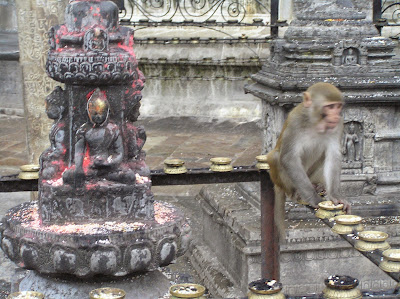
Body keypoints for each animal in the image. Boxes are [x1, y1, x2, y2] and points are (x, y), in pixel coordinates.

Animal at [268, 82, 352, 239]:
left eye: (338, 106)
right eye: (330, 106)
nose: (335, 115)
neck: (316, 123)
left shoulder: (338, 125)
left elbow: (333, 155)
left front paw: (336, 195)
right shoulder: (294, 122)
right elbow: (289, 158)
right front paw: (314, 199)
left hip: (310, 175)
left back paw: (317, 186)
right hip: (282, 180)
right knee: (277, 157)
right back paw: (295, 193)